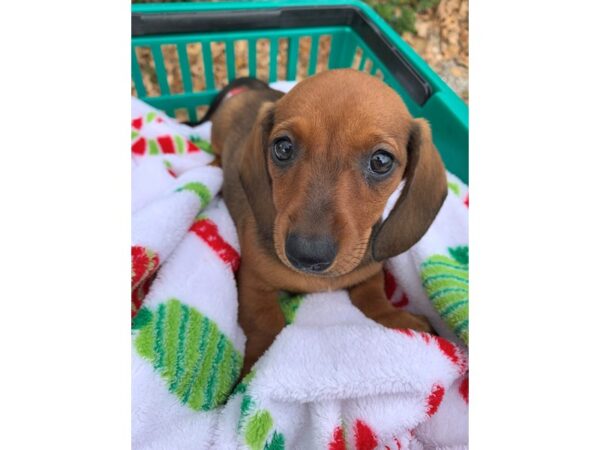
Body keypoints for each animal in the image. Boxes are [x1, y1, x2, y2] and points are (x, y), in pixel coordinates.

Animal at [209, 69, 448, 372]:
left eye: (381, 161)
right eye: (283, 147)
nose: (307, 256)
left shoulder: (370, 271)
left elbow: (373, 297)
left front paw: (401, 319)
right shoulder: (252, 279)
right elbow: (267, 323)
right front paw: (253, 369)